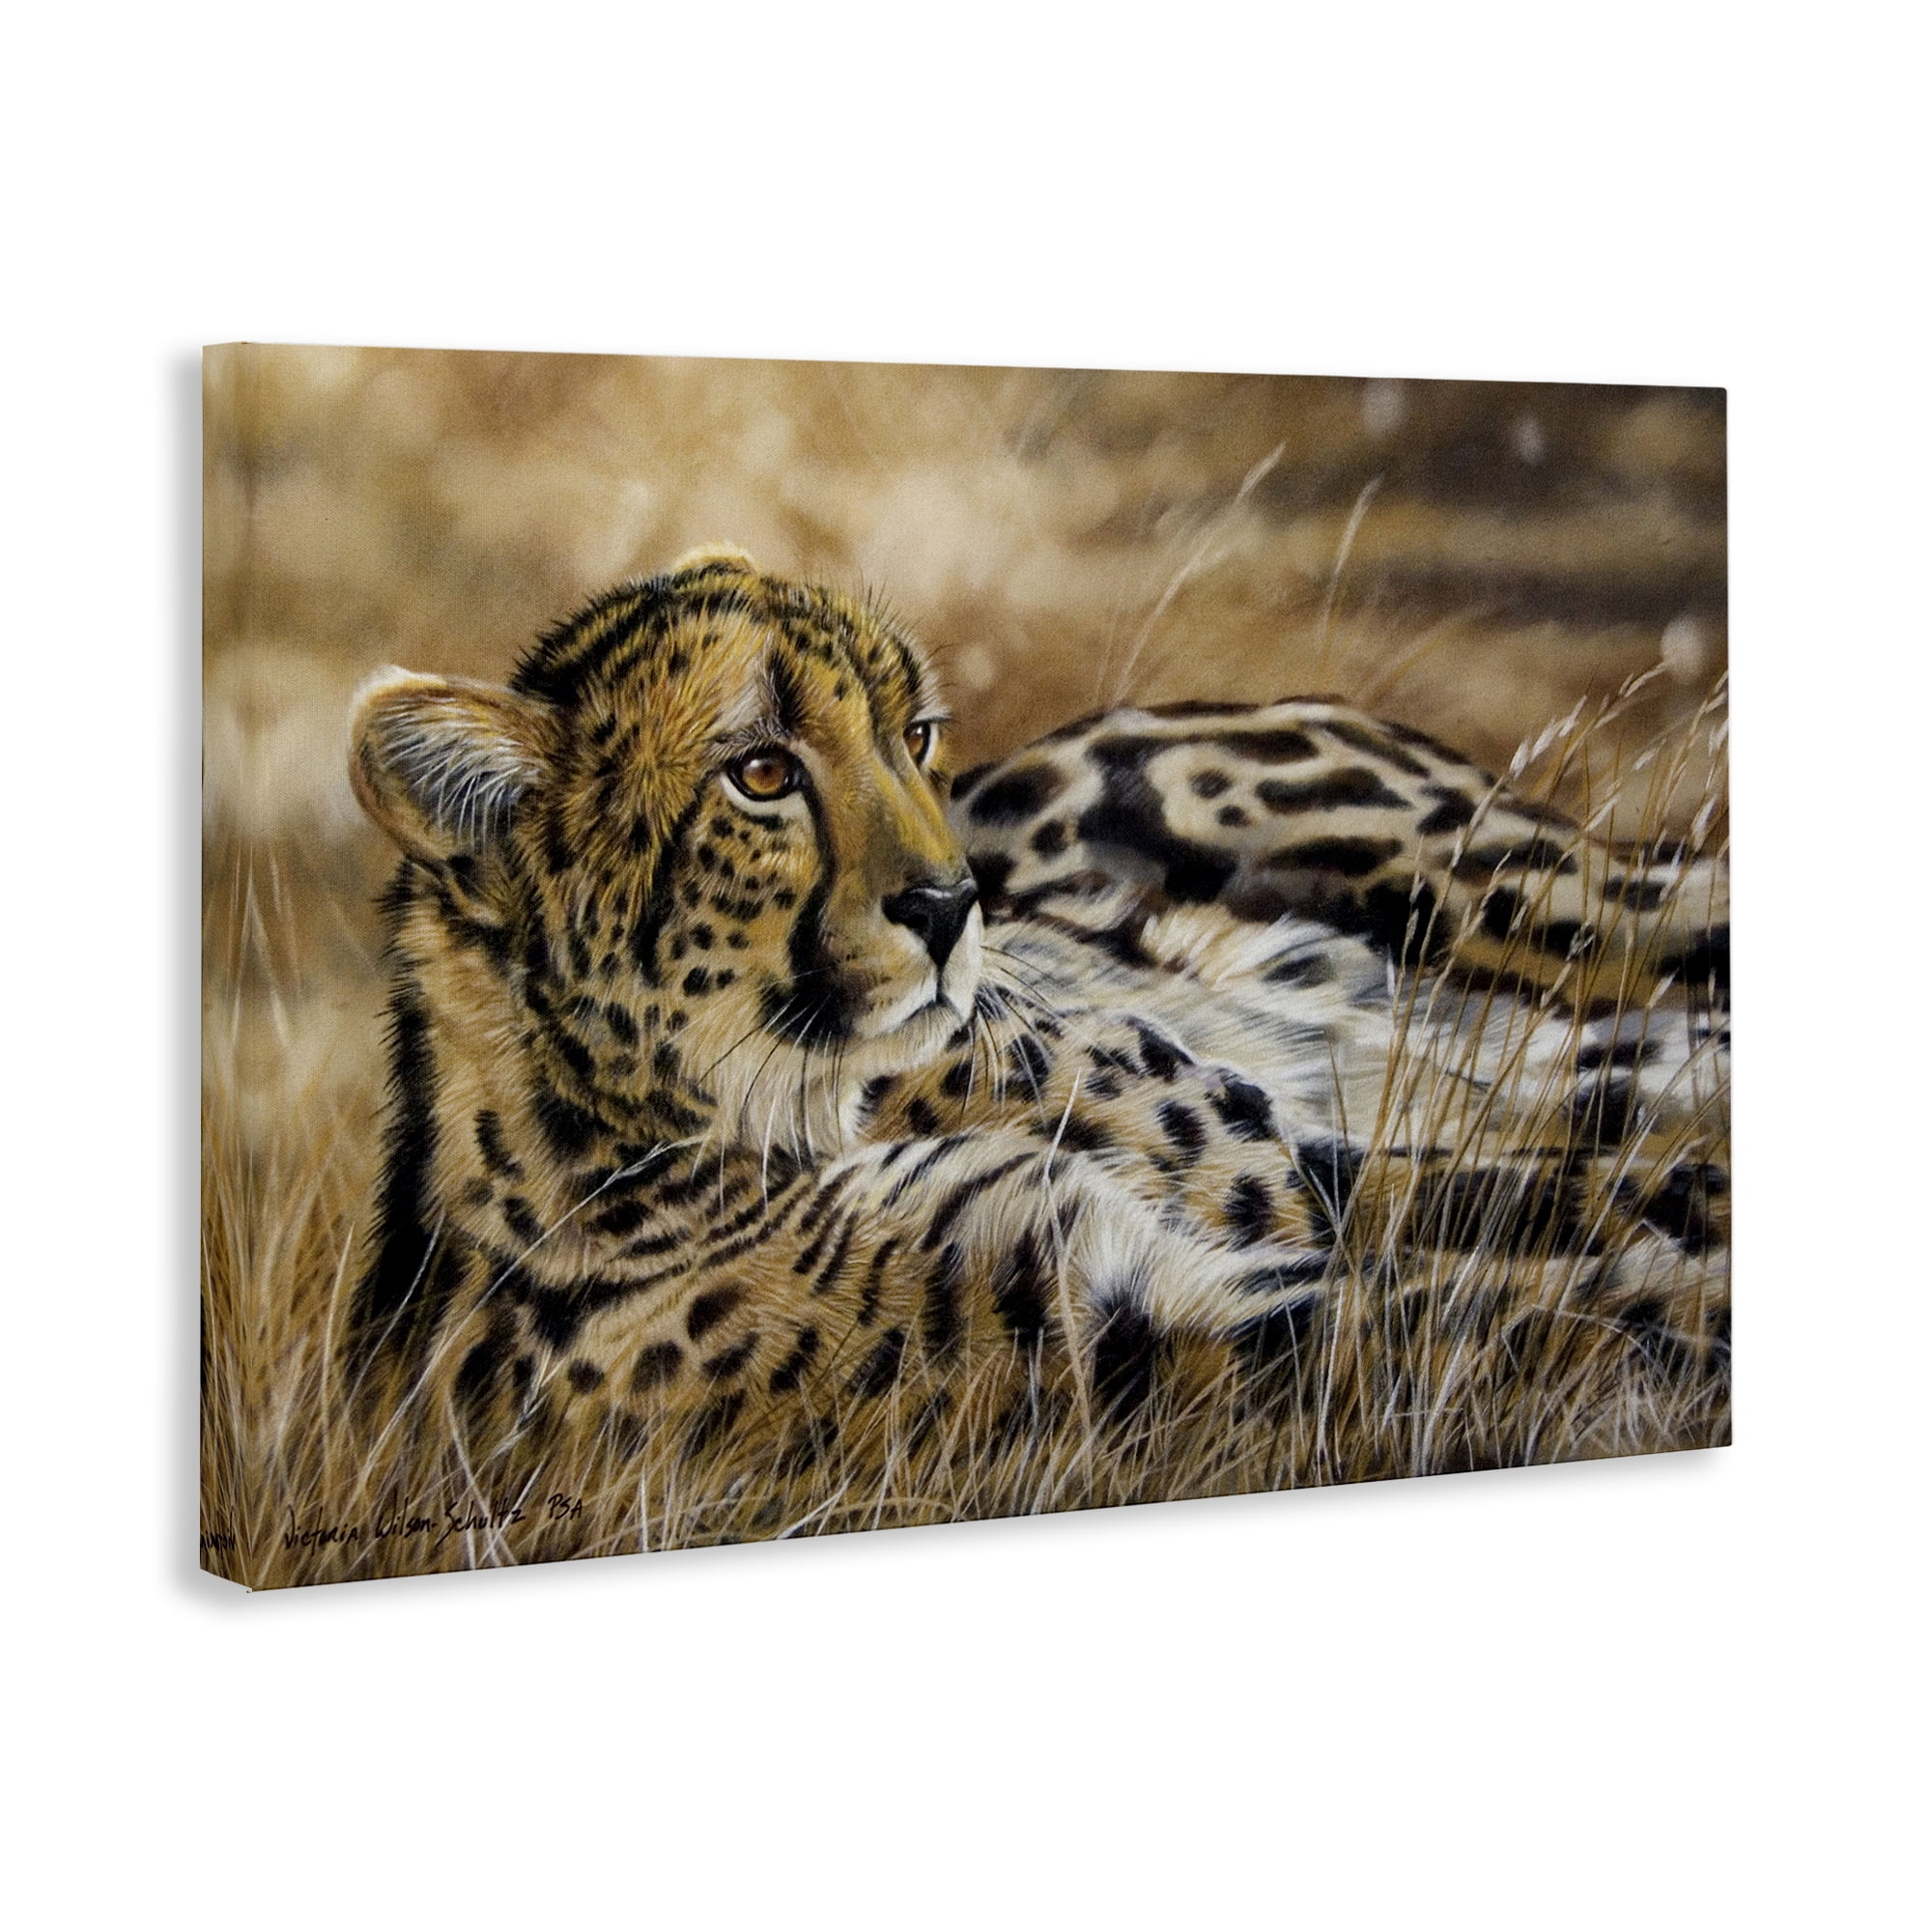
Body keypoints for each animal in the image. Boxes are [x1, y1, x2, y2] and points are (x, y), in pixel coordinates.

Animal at [344, 543, 1729, 1532]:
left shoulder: (1274, 1183)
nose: (954, 903)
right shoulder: (1146, 1319)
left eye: (912, 735)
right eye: (761, 772)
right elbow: (1516, 1300)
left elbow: (1577, 1214)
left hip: (1518, 893)